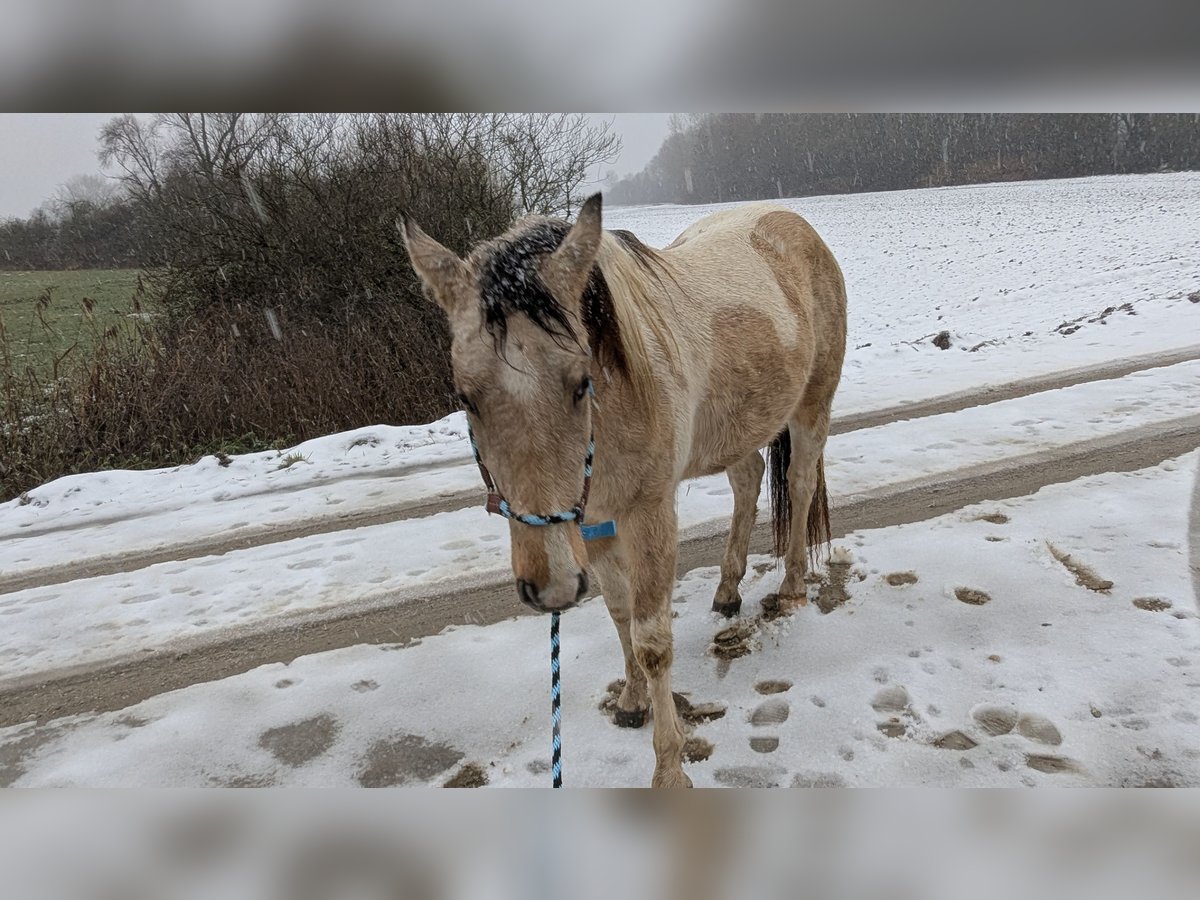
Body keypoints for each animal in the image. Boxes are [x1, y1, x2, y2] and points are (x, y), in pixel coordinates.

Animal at [400, 194, 844, 787]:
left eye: (580, 383)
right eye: (465, 397)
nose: (551, 589)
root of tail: (794, 223)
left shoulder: (648, 515)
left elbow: (652, 640)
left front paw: (669, 773)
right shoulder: (592, 520)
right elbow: (618, 612)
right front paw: (632, 702)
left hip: (812, 408)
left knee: (798, 486)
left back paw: (792, 588)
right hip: (734, 430)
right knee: (747, 479)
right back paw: (727, 592)